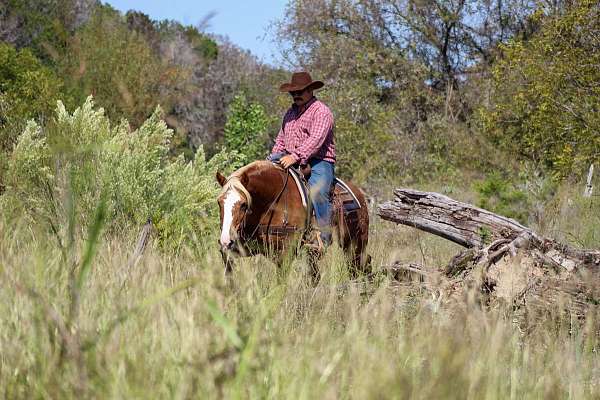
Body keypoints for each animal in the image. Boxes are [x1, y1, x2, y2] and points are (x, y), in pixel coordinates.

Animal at [213, 159, 368, 278]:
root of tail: (359, 193)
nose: (226, 240)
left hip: (356, 244)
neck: (274, 203)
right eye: (219, 202)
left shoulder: (286, 252)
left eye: (243, 205)